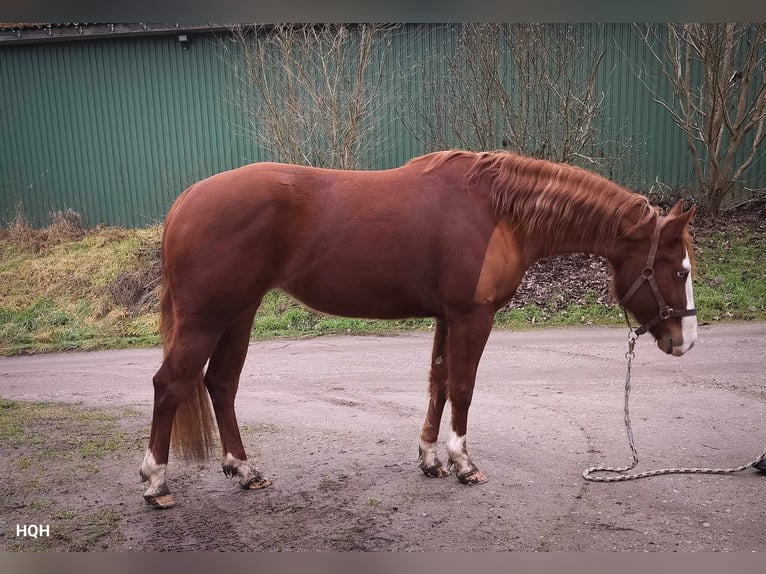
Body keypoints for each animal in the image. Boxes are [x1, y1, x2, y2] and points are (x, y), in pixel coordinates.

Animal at [141, 152, 700, 508]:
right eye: (679, 271)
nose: (685, 341)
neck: (497, 212)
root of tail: (186, 200)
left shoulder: (447, 316)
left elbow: (438, 383)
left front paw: (431, 460)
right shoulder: (473, 315)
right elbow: (464, 387)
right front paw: (463, 463)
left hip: (239, 314)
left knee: (221, 385)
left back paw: (244, 471)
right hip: (208, 318)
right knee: (170, 385)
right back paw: (156, 484)